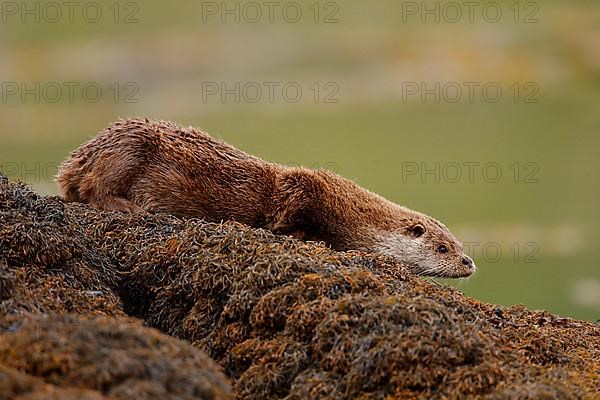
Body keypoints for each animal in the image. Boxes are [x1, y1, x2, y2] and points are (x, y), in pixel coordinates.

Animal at [58, 117, 476, 276]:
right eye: (443, 248)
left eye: (458, 243)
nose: (469, 261)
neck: (348, 211)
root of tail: (77, 157)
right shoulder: (302, 189)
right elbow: (286, 219)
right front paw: (305, 238)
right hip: (130, 147)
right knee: (92, 188)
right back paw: (128, 205)